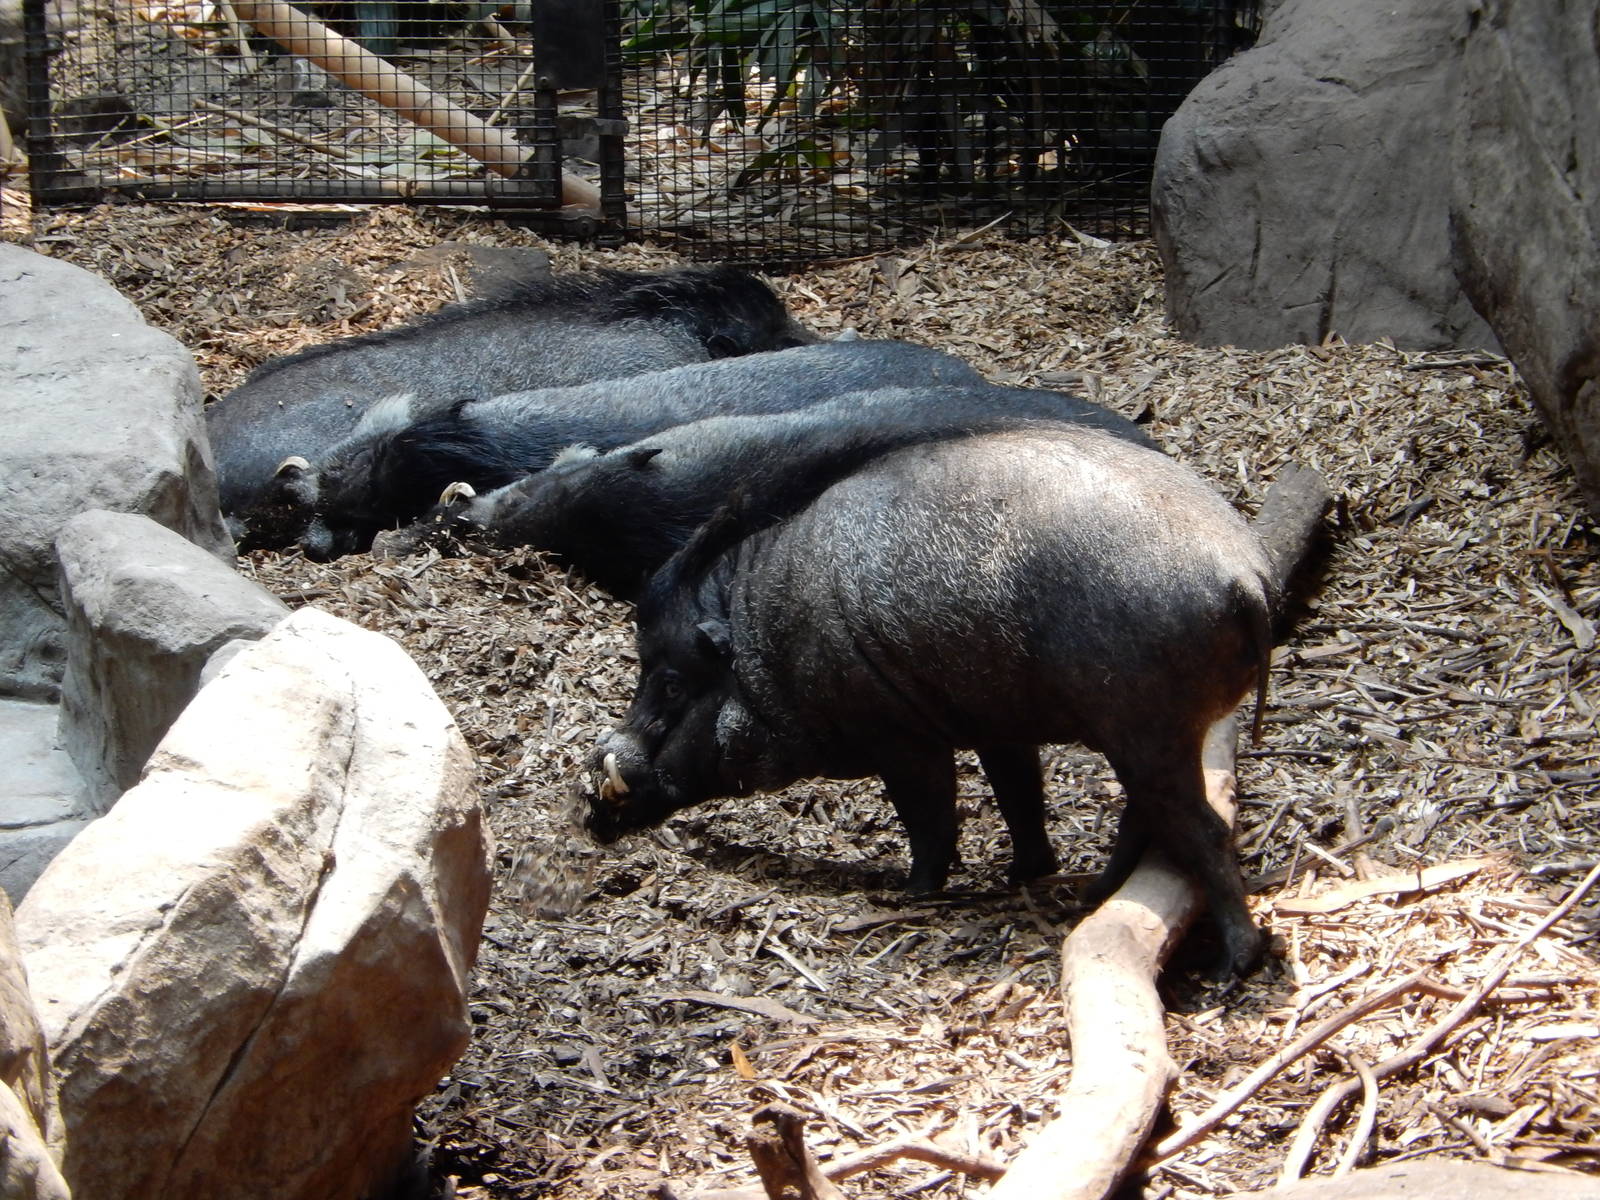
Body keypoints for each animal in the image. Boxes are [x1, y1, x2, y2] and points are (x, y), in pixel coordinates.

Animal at [588, 425, 1277, 978]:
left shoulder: (900, 737)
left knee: (1202, 827)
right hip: (1148, 733)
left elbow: (931, 818)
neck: (768, 633)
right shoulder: (997, 725)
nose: (591, 808)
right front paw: (1023, 874)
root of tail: (1245, 574)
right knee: (1149, 815)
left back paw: (1232, 965)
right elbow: (1019, 797)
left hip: (1144, 726)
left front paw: (912, 893)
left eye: (671, 681)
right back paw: (1093, 896)